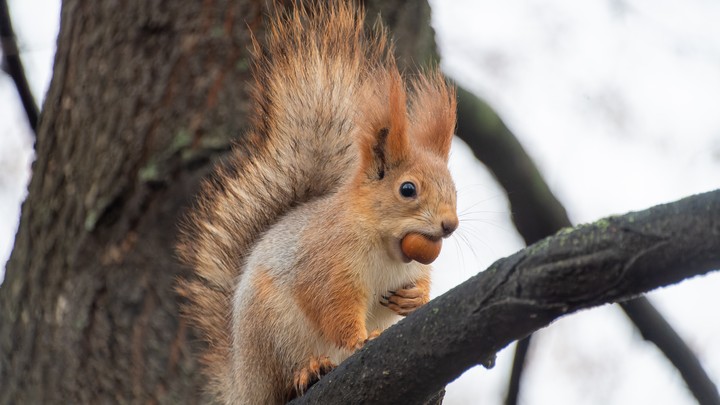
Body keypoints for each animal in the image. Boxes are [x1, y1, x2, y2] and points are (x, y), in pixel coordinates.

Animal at [179, 1, 458, 402]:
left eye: (454, 187)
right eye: (407, 189)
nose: (449, 225)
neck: (388, 247)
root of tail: (244, 382)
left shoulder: (411, 268)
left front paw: (415, 299)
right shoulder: (327, 263)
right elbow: (333, 307)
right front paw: (358, 339)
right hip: (273, 333)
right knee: (284, 379)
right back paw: (309, 370)